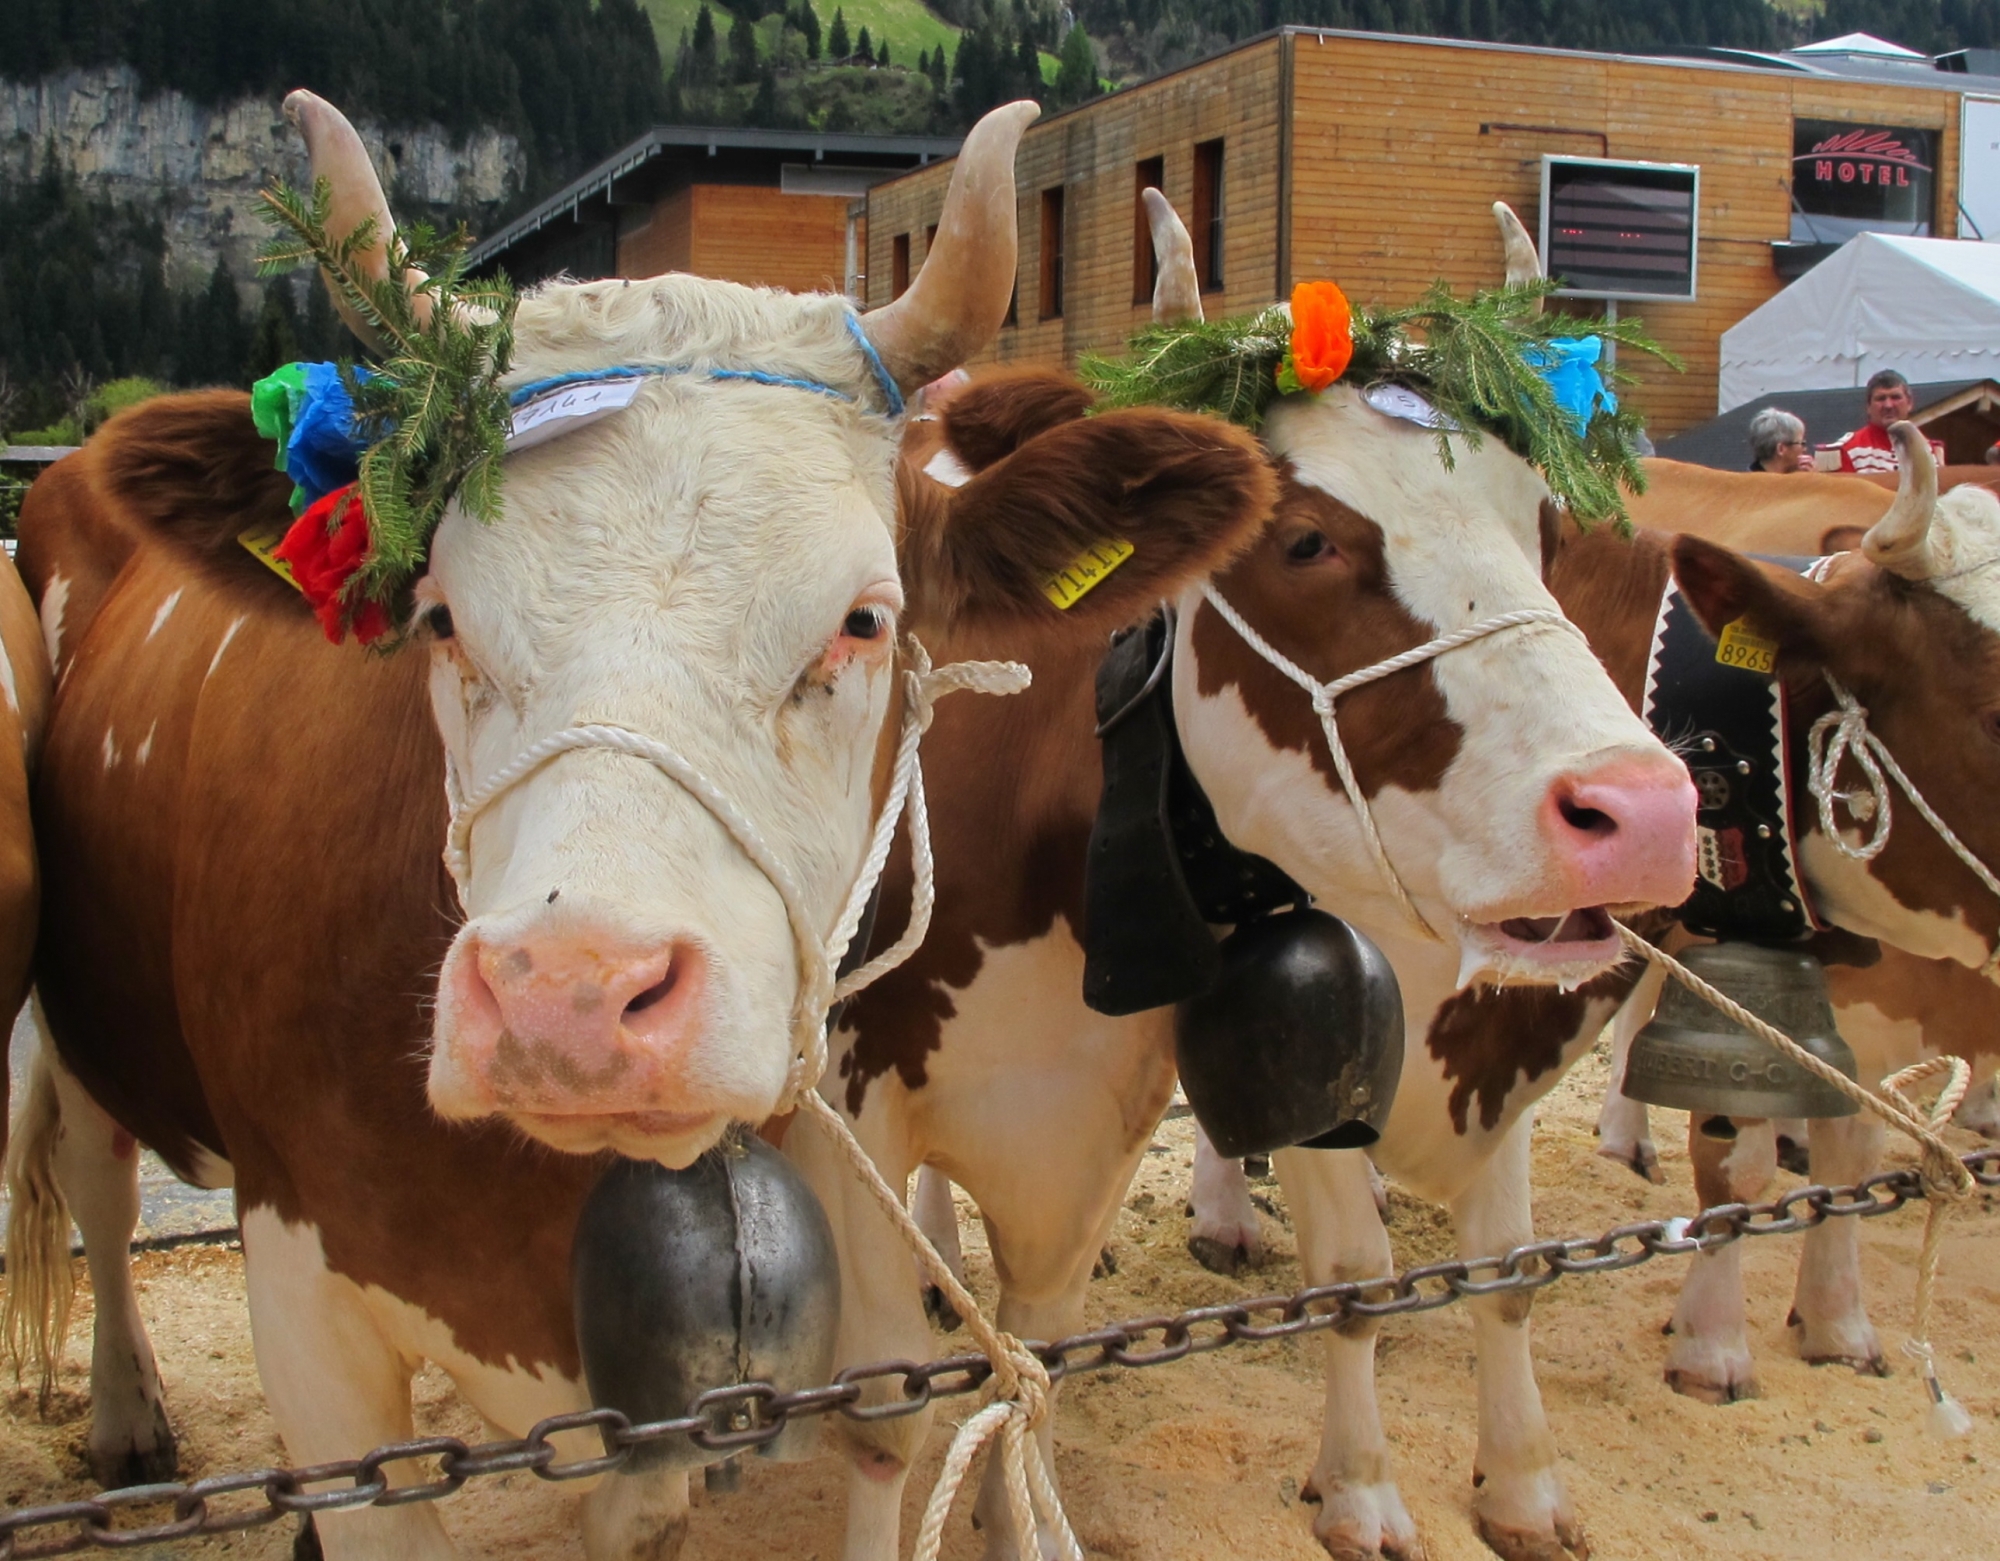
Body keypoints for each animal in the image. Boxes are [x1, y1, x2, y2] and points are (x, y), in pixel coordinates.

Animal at [0, 88, 1280, 1561]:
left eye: (864, 619)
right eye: (439, 615)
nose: (567, 1000)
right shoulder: (314, 1331)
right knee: (94, 1183)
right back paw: (125, 1420)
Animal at [828, 198, 1704, 1561]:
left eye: (1544, 530)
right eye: (1301, 539)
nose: (1643, 812)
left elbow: (1500, 1269)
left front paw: (1519, 1485)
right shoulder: (851, 1099)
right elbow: (885, 1411)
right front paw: (1364, 1493)